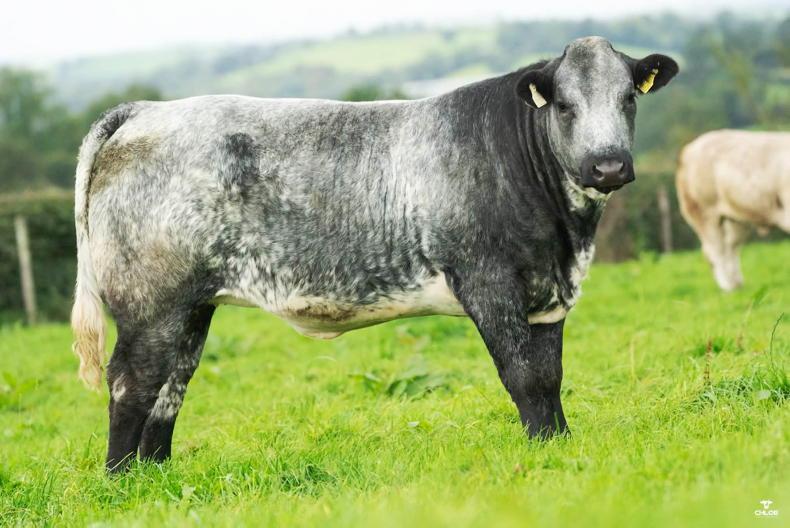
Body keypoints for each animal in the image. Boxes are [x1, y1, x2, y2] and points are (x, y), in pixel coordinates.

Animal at [71, 36, 678, 472]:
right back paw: (122, 480)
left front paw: (559, 446)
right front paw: (541, 453)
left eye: (628, 98)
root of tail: (146, 111)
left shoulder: (547, 295)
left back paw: (156, 474)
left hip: (191, 306)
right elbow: (523, 375)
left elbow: (549, 375)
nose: (608, 165)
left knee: (171, 384)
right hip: (150, 302)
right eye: (566, 106)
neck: (565, 236)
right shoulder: (488, 280)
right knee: (133, 382)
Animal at [676, 130, 790, 291]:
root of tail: (690, 148)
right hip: (703, 212)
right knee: (716, 250)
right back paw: (728, 287)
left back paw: (737, 285)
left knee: (730, 247)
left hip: (736, 218)